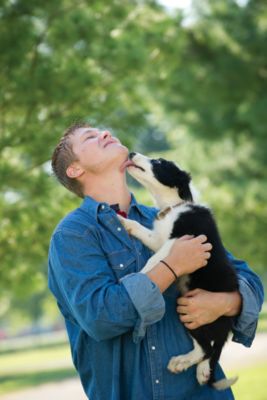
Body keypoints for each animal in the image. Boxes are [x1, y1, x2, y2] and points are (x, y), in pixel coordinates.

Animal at [120, 152, 240, 390]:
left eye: (159, 162)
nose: (131, 153)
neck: (174, 206)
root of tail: (229, 322)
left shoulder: (181, 238)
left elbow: (156, 258)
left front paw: (139, 275)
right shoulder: (159, 239)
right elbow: (143, 232)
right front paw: (123, 221)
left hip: (195, 313)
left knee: (208, 349)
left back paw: (184, 363)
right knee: (207, 349)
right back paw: (194, 367)